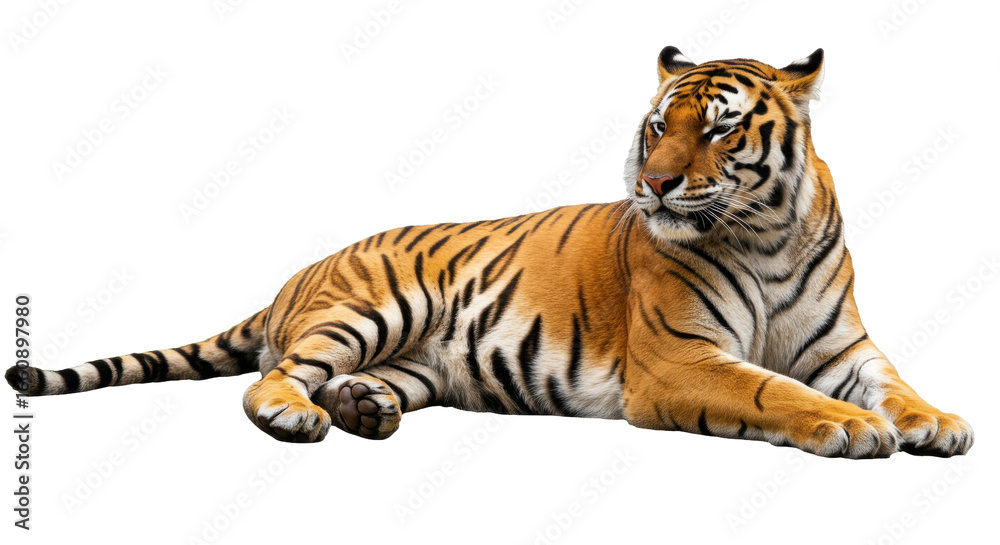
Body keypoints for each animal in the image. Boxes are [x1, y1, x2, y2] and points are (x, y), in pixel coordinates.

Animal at [6, 47, 973, 458]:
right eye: (659, 126)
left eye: (720, 129)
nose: (655, 184)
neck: (767, 232)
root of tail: (299, 273)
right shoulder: (680, 359)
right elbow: (773, 389)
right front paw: (852, 427)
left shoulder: (845, 347)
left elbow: (895, 383)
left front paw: (935, 420)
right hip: (371, 306)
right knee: (272, 377)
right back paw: (298, 415)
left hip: (419, 360)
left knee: (358, 382)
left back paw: (363, 408)